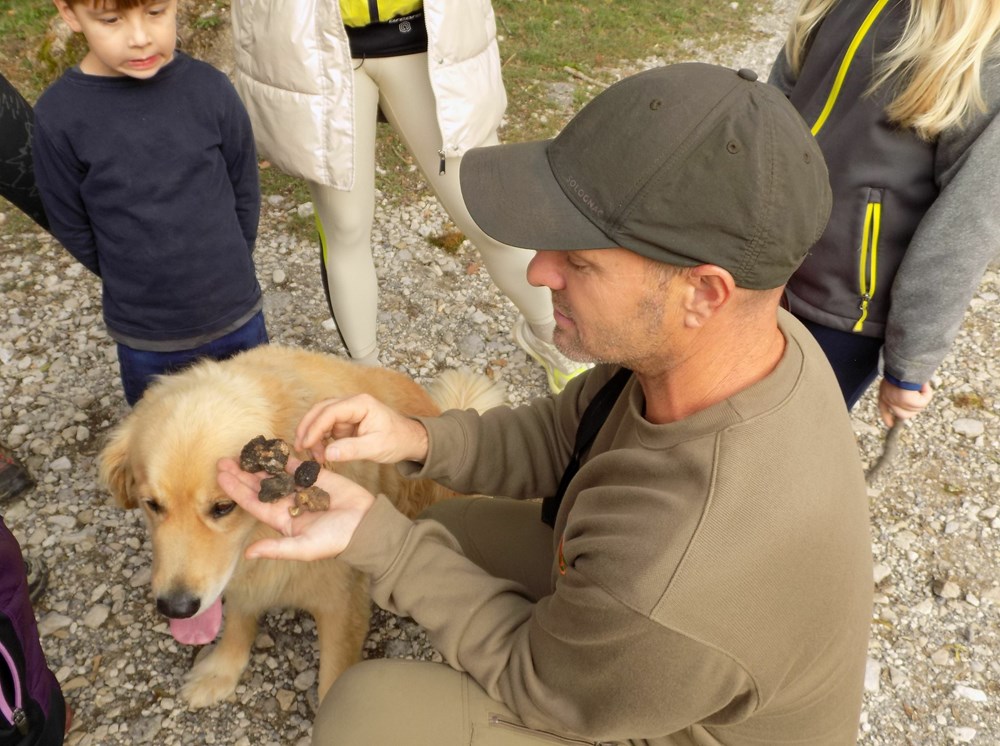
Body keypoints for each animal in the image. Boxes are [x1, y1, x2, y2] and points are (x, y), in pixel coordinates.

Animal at [97, 346, 504, 708]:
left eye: (223, 507)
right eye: (152, 505)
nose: (176, 608)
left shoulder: (341, 603)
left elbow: (331, 680)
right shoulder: (243, 578)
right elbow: (238, 620)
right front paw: (221, 671)